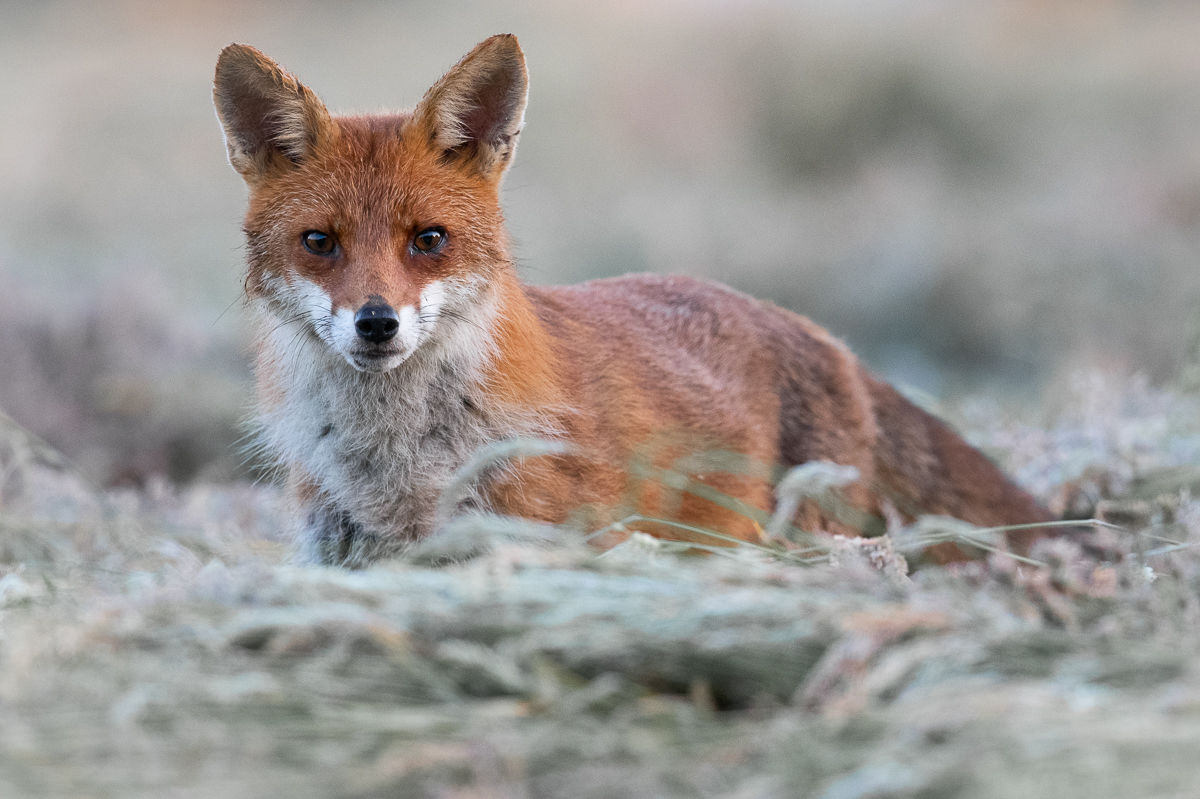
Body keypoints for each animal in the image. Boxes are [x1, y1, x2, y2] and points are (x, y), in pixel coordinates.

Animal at [213, 34, 1052, 567]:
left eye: (429, 239)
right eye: (320, 242)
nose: (377, 323)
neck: (400, 467)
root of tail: (824, 337)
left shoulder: (548, 540)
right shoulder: (345, 553)